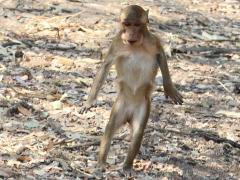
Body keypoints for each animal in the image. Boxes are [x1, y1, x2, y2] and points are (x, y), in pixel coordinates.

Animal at [79, 4, 183, 170]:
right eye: (127, 24)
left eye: (137, 25)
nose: (131, 33)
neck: (135, 46)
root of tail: (129, 115)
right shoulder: (116, 42)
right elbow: (105, 66)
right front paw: (89, 102)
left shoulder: (152, 40)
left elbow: (161, 55)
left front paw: (169, 89)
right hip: (120, 105)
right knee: (110, 127)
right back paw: (101, 163)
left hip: (142, 107)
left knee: (138, 133)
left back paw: (127, 166)